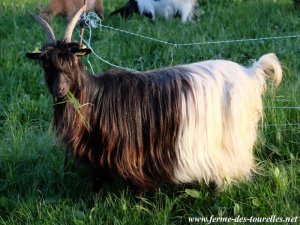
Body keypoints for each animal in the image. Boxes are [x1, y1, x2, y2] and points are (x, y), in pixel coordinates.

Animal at [25, 6, 282, 193]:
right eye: (46, 65)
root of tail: (250, 73)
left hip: (230, 142)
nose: (59, 90)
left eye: (72, 63)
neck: (94, 98)